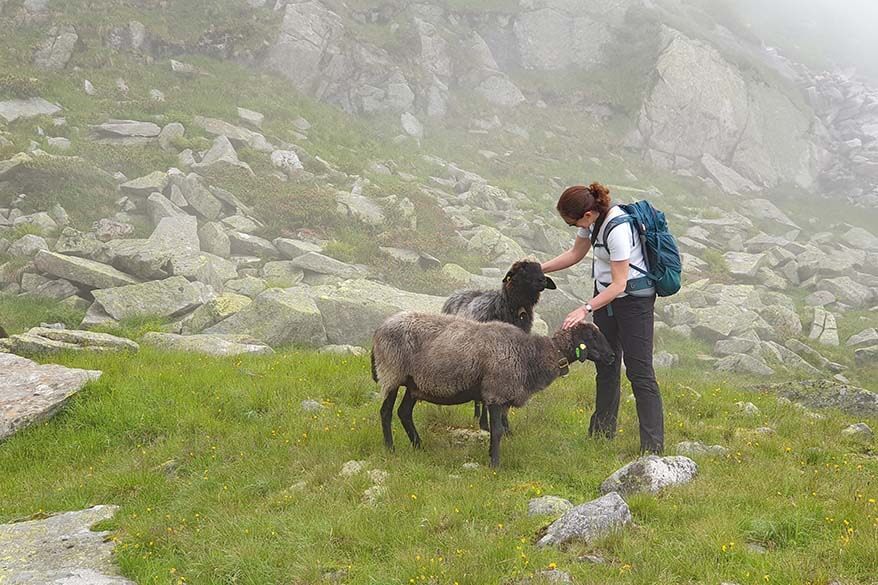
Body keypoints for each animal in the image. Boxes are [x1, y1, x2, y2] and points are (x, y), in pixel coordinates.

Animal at [374, 312, 616, 468]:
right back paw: (390, 448)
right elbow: (498, 430)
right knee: (386, 412)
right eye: (592, 336)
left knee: (404, 413)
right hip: (392, 373)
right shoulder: (495, 393)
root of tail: (379, 329)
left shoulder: (500, 396)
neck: (531, 355)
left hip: (414, 384)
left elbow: (496, 429)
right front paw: (495, 464)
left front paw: (492, 455)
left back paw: (419, 446)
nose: (613, 356)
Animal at [444, 258, 560, 428]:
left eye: (541, 268)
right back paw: (478, 418)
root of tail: (457, 292)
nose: (542, 280)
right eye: (522, 269)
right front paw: (486, 424)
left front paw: (505, 426)